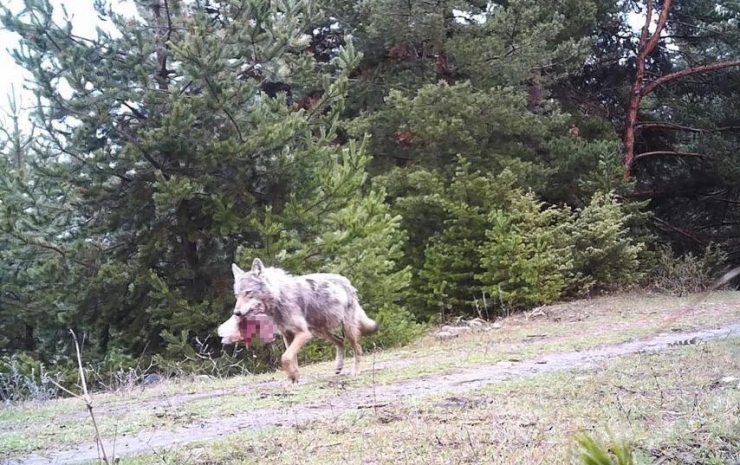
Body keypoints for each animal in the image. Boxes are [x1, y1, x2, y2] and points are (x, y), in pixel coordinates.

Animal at [218, 258, 382, 380]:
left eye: (248, 293)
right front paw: (293, 378)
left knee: (358, 350)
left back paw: (356, 372)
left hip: (346, 331)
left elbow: (285, 357)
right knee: (340, 342)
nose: (237, 313)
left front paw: (293, 377)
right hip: (321, 332)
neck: (279, 297)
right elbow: (291, 359)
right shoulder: (288, 335)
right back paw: (338, 368)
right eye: (237, 296)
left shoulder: (303, 334)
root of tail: (348, 283)